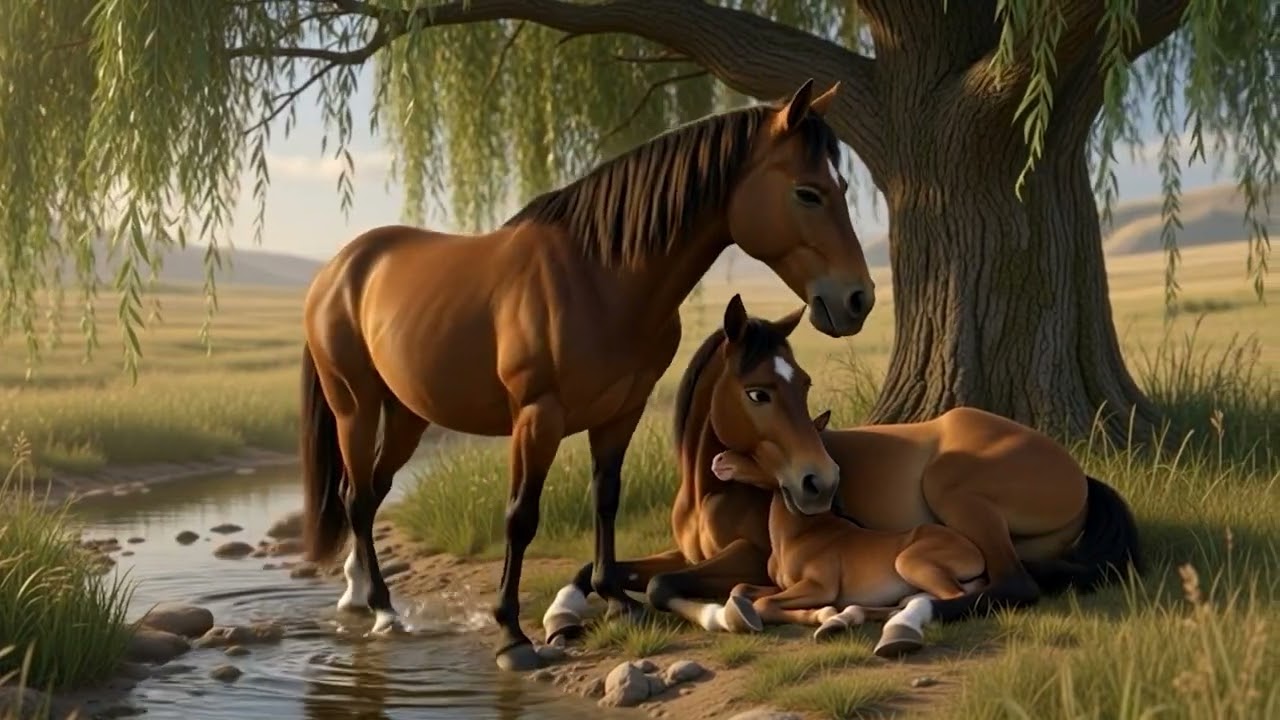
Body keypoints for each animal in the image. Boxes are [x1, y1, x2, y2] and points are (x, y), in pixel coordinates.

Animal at [299, 78, 877, 672]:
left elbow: (607, 498)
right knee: (356, 496)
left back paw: (358, 598)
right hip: (355, 407)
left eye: (840, 186)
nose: (857, 299)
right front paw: (511, 635)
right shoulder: (538, 418)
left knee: (370, 492)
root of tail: (341, 268)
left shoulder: (622, 411)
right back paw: (381, 608)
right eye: (807, 193)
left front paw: (615, 600)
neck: (599, 277)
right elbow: (521, 517)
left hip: (407, 415)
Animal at [542, 296, 1143, 647]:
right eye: (758, 391)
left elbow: (664, 584)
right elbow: (601, 569)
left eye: (804, 381)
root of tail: (1078, 476)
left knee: (1012, 584)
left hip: (953, 490)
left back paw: (898, 621)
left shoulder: (744, 554)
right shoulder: (686, 552)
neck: (704, 489)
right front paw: (566, 615)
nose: (821, 483)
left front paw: (723, 614)